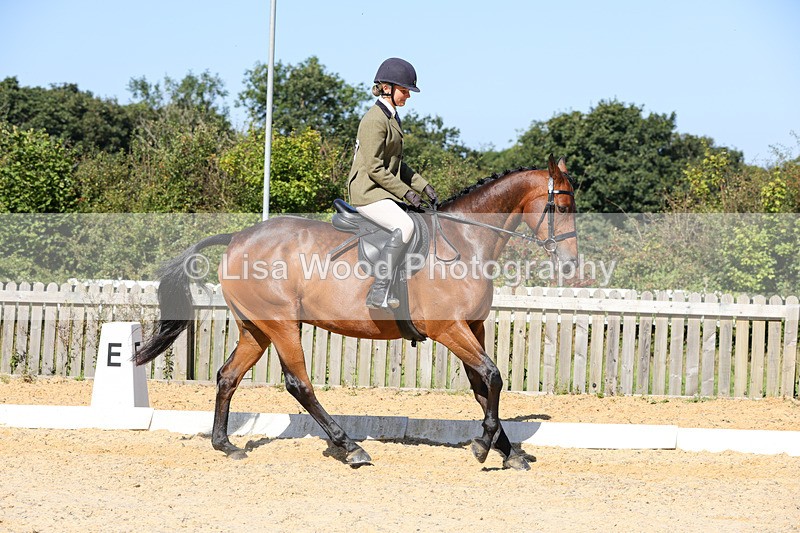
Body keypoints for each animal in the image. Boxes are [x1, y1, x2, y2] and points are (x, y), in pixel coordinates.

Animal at [135, 154, 579, 470]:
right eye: (560, 208)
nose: (572, 263)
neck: (465, 241)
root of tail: (237, 237)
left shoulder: (473, 327)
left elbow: (482, 385)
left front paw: (507, 450)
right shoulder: (448, 329)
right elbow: (493, 375)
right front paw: (485, 445)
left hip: (255, 329)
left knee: (228, 376)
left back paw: (225, 445)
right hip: (281, 324)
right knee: (299, 384)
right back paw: (350, 447)